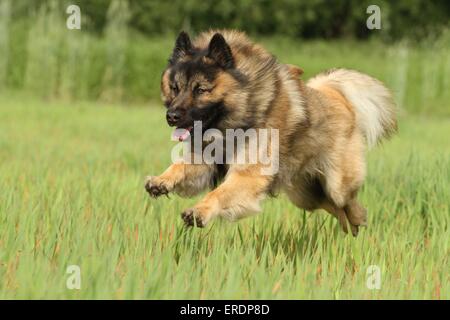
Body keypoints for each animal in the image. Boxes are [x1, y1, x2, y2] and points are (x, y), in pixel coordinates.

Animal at [146, 29, 396, 235]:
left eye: (200, 90)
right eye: (175, 88)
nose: (171, 116)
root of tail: (337, 96)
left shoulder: (248, 174)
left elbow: (218, 193)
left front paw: (198, 212)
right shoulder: (207, 161)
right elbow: (180, 166)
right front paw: (160, 181)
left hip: (336, 184)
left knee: (346, 201)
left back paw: (359, 220)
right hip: (304, 194)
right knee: (333, 206)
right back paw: (351, 229)